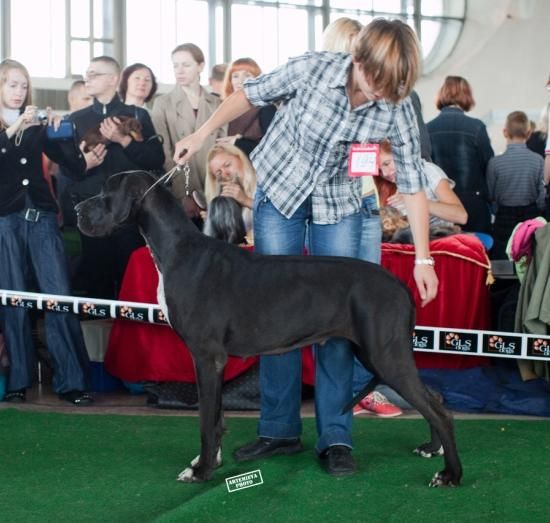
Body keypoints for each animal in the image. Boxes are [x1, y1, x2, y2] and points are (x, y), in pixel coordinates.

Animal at [75, 170, 462, 487]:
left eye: (105, 192)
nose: (77, 209)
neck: (176, 251)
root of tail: (401, 286)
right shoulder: (214, 362)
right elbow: (217, 419)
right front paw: (211, 461)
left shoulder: (206, 358)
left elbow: (205, 421)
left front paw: (201, 472)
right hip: (381, 353)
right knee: (434, 398)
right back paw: (432, 449)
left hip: (384, 354)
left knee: (440, 410)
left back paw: (450, 474)